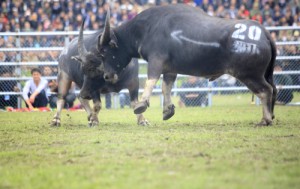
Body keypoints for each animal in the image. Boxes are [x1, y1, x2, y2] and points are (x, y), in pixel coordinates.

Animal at [91, 4, 276, 125]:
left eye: (104, 52)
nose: (106, 75)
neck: (146, 28)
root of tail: (264, 33)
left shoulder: (156, 61)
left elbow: (151, 82)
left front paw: (142, 104)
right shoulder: (170, 70)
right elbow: (166, 87)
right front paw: (167, 109)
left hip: (249, 75)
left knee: (265, 91)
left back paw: (265, 119)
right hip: (263, 75)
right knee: (274, 89)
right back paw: (271, 116)